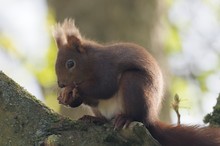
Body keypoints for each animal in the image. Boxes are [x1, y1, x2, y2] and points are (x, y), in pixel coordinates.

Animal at [52, 19, 220, 146]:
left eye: (70, 63)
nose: (60, 84)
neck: (89, 62)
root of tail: (151, 118)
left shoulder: (106, 67)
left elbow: (105, 87)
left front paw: (73, 89)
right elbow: (93, 99)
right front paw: (67, 97)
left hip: (134, 84)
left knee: (137, 115)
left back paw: (126, 118)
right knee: (104, 117)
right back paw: (95, 119)